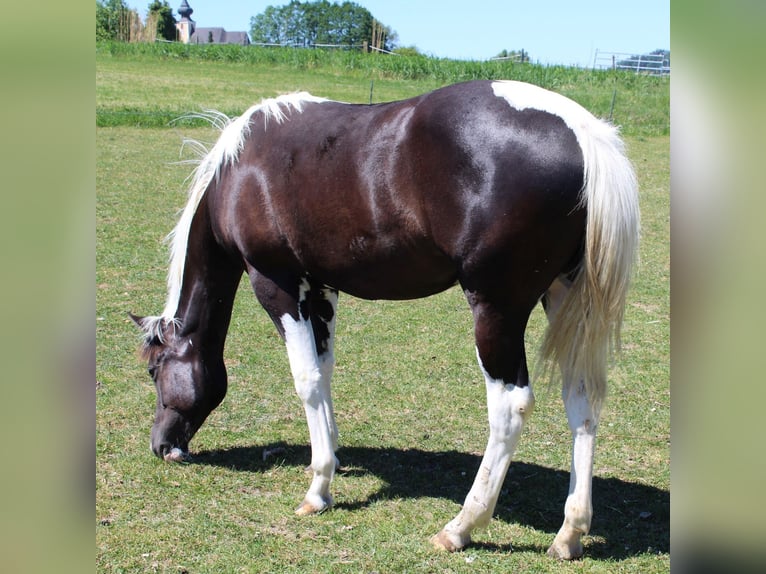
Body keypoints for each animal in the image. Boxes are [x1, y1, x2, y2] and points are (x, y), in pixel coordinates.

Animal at [131, 79, 639, 560]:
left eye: (154, 371)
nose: (162, 447)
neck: (241, 169)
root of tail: (583, 133)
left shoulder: (277, 283)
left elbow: (306, 380)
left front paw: (318, 489)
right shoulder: (321, 288)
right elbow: (325, 372)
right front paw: (331, 458)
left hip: (497, 309)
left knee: (510, 407)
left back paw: (462, 526)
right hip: (566, 301)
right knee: (582, 400)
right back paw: (569, 534)